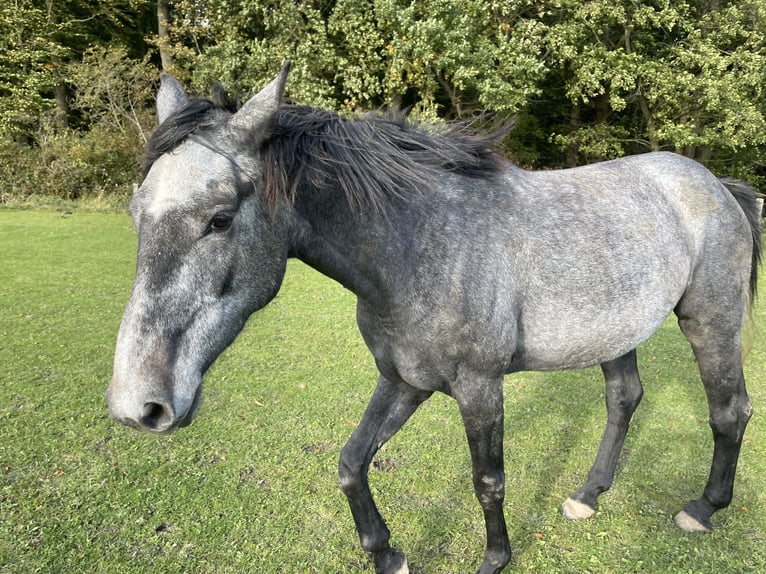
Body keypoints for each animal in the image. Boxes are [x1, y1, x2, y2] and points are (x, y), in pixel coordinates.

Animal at [106, 60, 760, 572]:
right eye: (137, 213)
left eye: (218, 218)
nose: (138, 406)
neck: (417, 248)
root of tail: (716, 184)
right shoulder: (404, 380)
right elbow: (351, 463)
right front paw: (388, 555)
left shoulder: (479, 387)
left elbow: (488, 481)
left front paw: (494, 560)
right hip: (616, 333)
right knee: (624, 399)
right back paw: (588, 496)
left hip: (710, 322)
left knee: (730, 410)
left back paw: (703, 509)